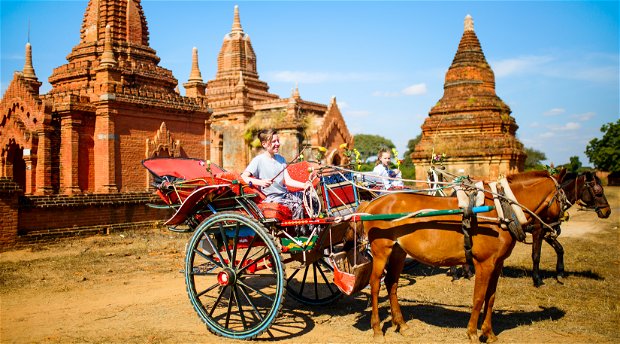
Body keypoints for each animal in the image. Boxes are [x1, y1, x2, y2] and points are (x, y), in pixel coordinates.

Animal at [356, 171, 564, 342]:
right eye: (563, 199)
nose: (556, 229)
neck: (502, 210)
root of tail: (372, 203)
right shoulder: (484, 264)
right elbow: (478, 298)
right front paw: (472, 333)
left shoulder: (497, 264)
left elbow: (491, 298)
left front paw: (489, 333)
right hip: (381, 252)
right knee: (376, 285)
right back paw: (377, 329)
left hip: (398, 252)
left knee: (392, 283)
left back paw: (401, 324)